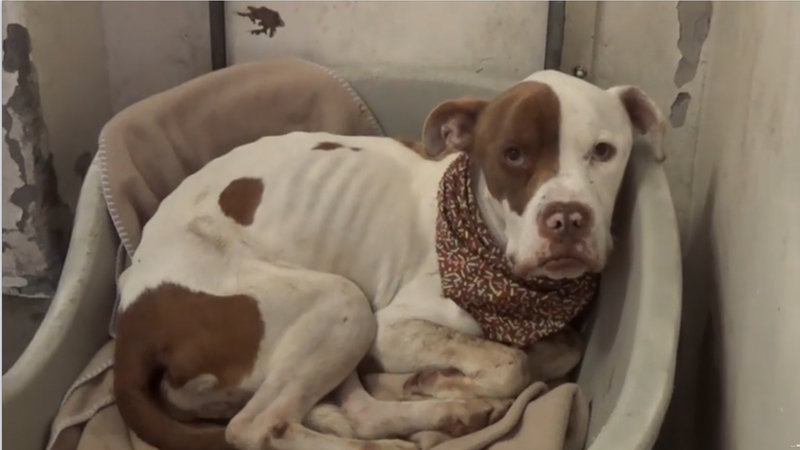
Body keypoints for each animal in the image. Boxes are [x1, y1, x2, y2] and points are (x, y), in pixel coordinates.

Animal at [113, 70, 665, 450]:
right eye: (512, 154)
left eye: (603, 151)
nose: (567, 219)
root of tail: (132, 321)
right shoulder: (392, 327)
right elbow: (511, 362)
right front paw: (458, 374)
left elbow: (558, 351)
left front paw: (444, 380)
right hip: (343, 303)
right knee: (256, 426)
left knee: (348, 409)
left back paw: (449, 409)